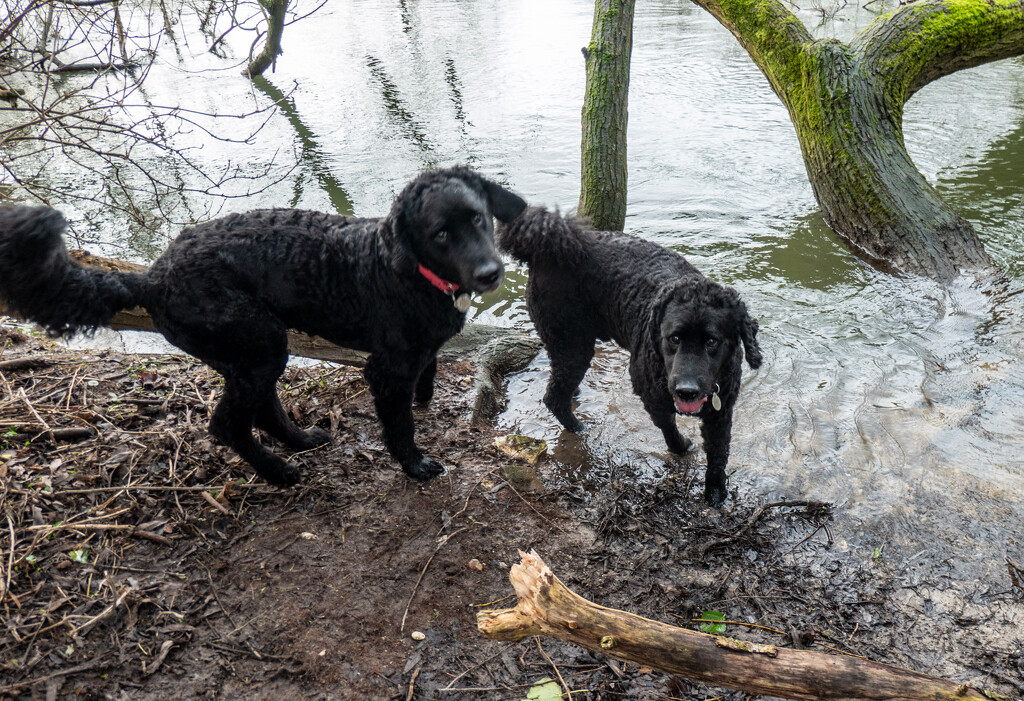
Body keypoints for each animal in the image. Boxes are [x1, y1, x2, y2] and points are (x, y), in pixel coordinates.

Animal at [0, 169, 528, 487]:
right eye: (440, 233)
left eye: (478, 217)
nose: (490, 274)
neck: (406, 269)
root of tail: (153, 276)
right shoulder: (386, 370)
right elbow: (400, 424)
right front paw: (414, 464)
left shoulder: (416, 355)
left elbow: (427, 377)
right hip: (259, 341)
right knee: (228, 424)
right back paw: (278, 471)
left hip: (249, 350)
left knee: (263, 408)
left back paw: (301, 441)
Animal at [495, 204, 761, 505]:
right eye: (674, 338)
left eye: (712, 341)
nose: (687, 391)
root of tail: (546, 249)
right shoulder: (650, 392)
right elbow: (668, 428)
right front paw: (681, 447)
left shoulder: (721, 409)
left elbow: (718, 452)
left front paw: (715, 491)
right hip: (572, 343)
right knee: (554, 397)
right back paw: (578, 427)